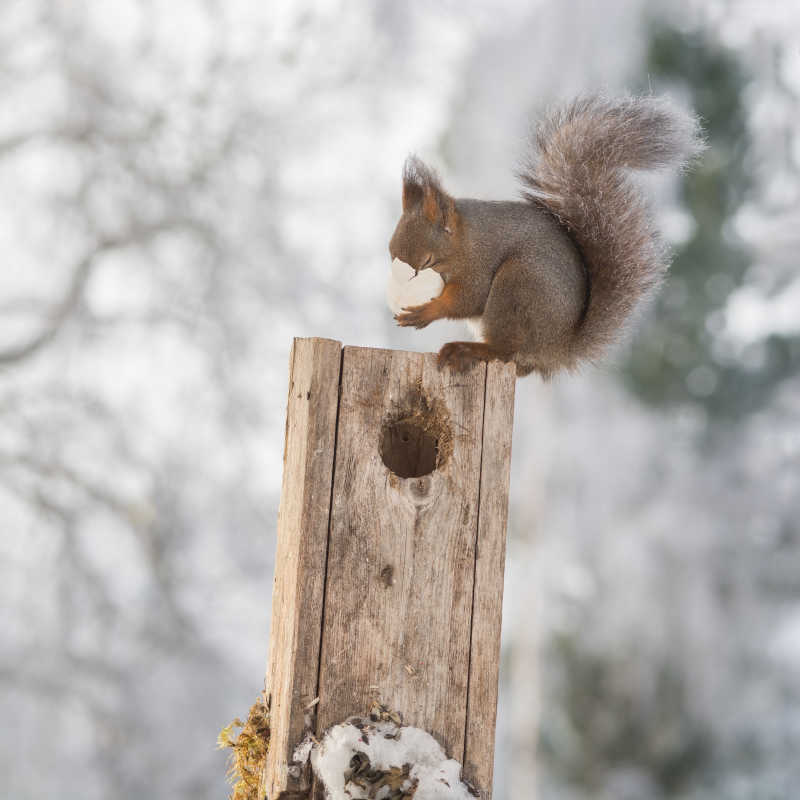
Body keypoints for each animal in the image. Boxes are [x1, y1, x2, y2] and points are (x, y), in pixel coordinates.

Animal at [390, 94, 704, 378]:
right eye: (391, 253)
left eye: (427, 260)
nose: (400, 281)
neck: (464, 240)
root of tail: (557, 348)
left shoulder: (479, 263)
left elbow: (467, 299)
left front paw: (425, 312)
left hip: (518, 284)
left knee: (505, 349)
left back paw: (468, 350)